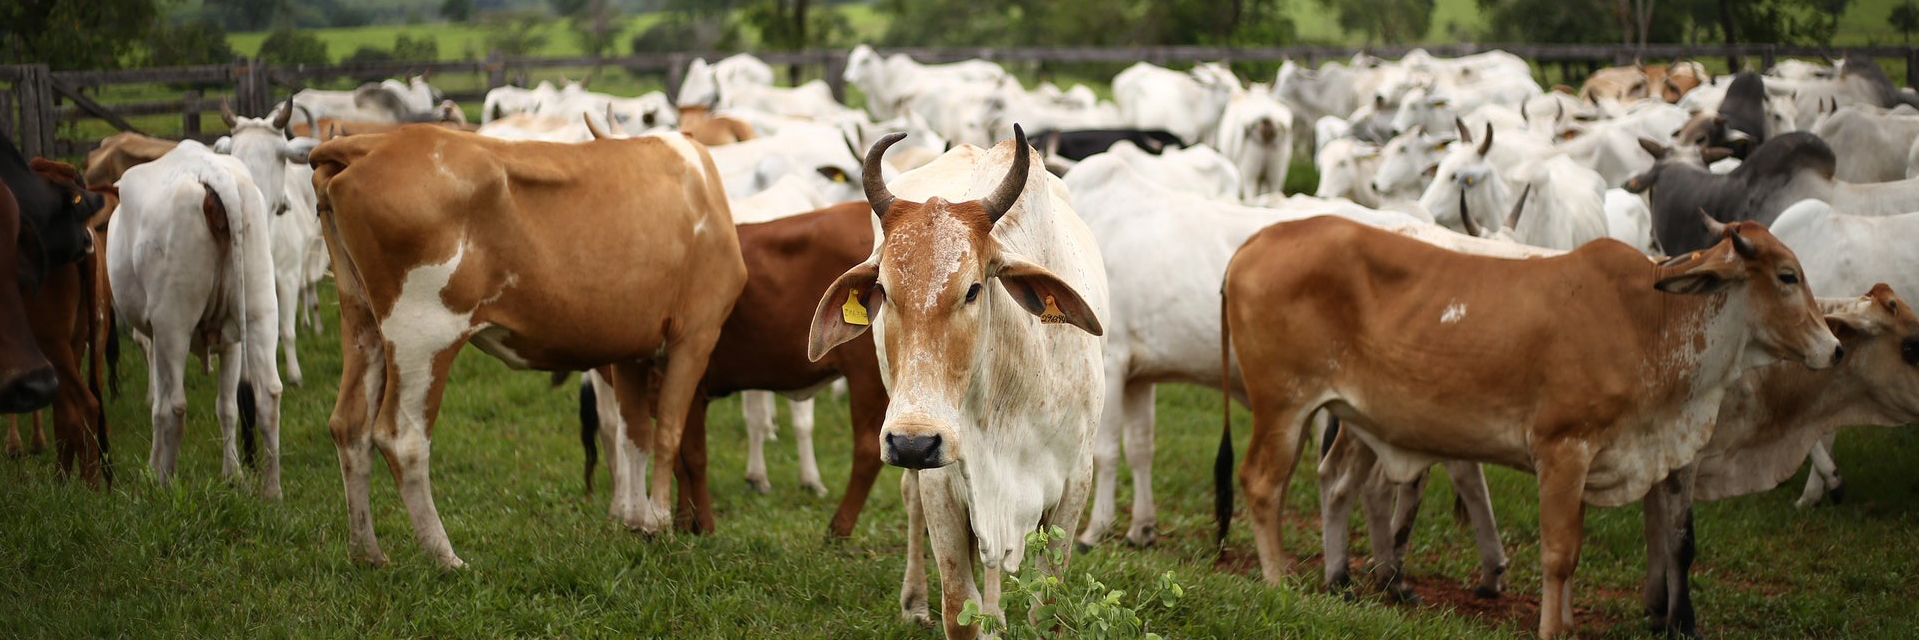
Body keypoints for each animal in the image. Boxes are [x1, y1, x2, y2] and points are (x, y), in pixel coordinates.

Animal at [106, 142, 280, 495]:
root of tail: (211, 173)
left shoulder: (157, 336)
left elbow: (158, 406)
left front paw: (153, 469)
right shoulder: (230, 344)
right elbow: (227, 407)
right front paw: (233, 475)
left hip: (173, 324)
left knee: (174, 406)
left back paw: (164, 483)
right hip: (260, 309)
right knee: (268, 394)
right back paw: (272, 492)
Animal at [311, 124, 744, 568]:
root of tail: (374, 142)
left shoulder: (630, 349)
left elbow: (634, 435)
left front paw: (638, 523)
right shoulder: (697, 333)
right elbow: (669, 433)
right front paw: (659, 522)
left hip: (362, 321)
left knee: (350, 425)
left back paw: (367, 552)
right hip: (422, 333)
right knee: (403, 438)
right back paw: (446, 558)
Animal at [579, 199, 887, 534]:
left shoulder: (687, 384)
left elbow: (693, 457)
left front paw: (703, 525)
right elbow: (679, 461)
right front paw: (684, 522)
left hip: (867, 376)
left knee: (868, 449)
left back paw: (838, 528)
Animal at [1221, 217, 1835, 634]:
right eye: (1787, 276)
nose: (1833, 347)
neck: (1649, 322)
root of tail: (1257, 241)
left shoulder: (1598, 460)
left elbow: (1579, 551)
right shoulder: (1563, 450)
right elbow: (1558, 555)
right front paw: (1551, 629)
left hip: (1332, 414)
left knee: (1322, 483)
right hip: (1283, 405)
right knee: (1262, 484)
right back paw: (1278, 584)